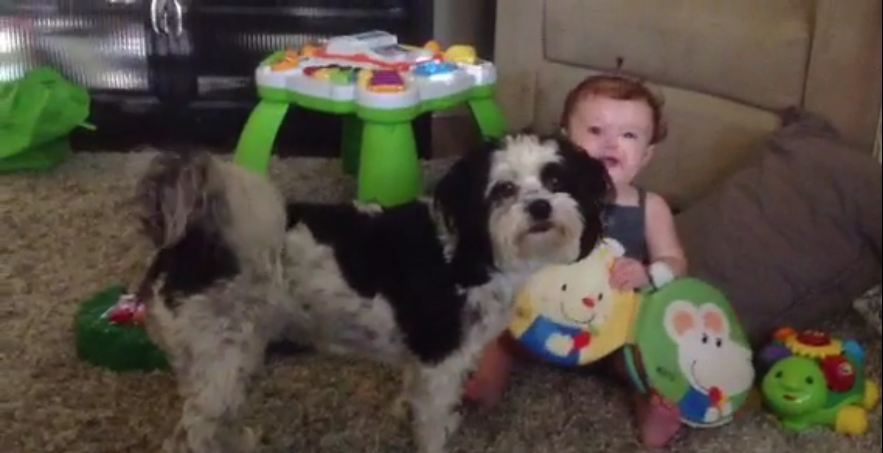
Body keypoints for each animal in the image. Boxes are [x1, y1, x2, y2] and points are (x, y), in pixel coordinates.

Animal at [135, 132, 612, 450]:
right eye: (505, 190)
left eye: (556, 181)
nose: (541, 207)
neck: (473, 248)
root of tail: (188, 241)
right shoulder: (441, 360)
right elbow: (432, 422)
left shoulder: (422, 362)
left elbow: (413, 396)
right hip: (222, 357)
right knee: (194, 431)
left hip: (224, 357)